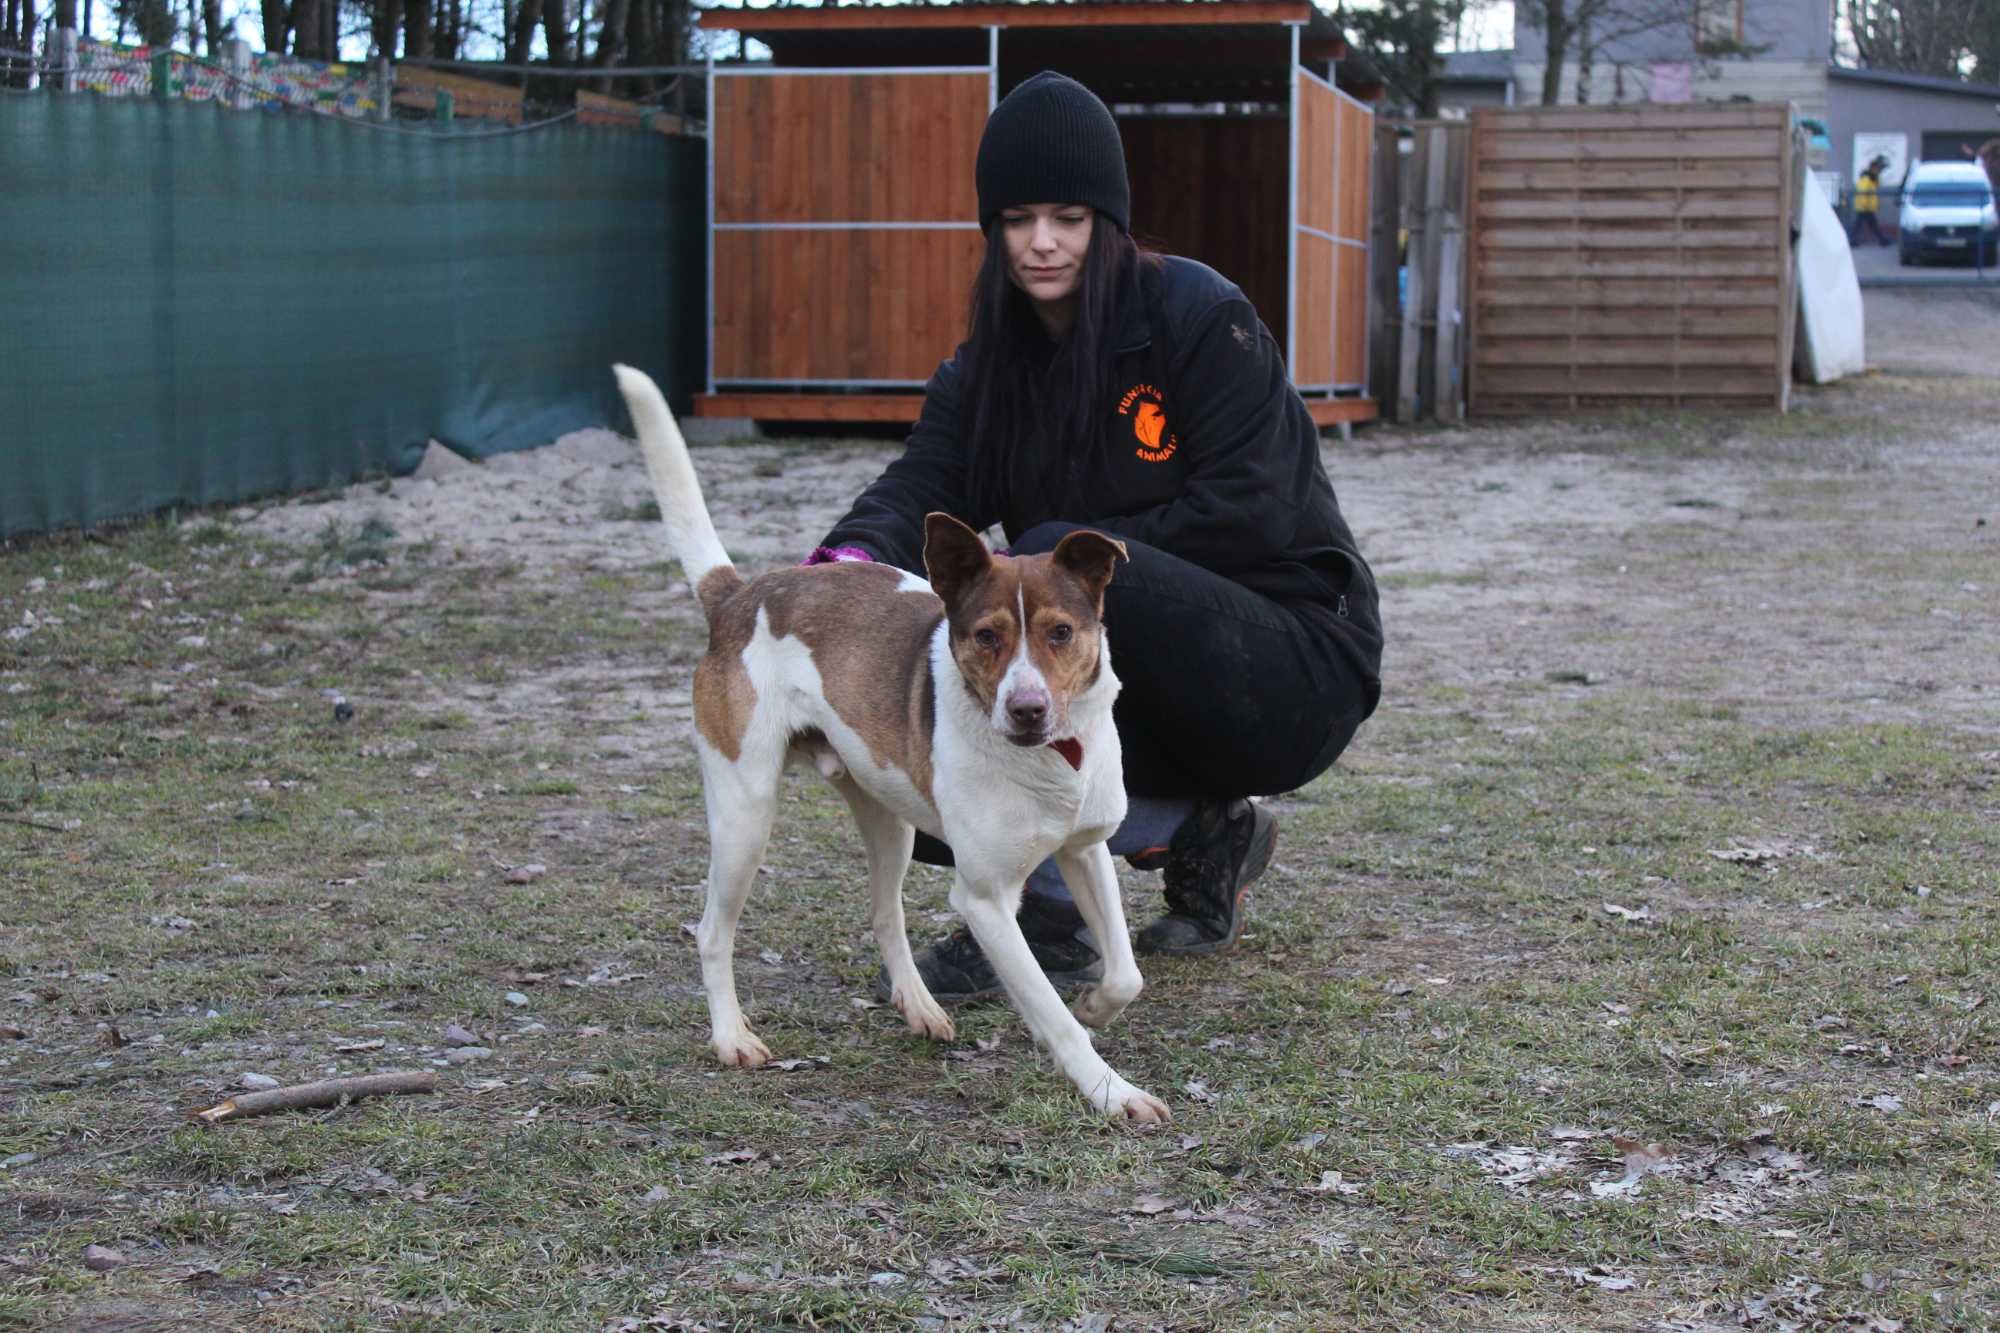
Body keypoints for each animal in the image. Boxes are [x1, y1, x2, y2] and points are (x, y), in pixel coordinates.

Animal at [612, 366, 1168, 1120]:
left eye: (1061, 632)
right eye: (986, 635)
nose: (1026, 710)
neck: (1050, 759)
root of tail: (739, 595)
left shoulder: (1084, 850)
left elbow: (1125, 972)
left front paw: (1097, 1005)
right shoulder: (985, 900)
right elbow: (1050, 1012)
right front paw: (1111, 1089)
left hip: (887, 816)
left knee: (884, 912)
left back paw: (919, 1006)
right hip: (744, 815)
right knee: (712, 931)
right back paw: (732, 1036)